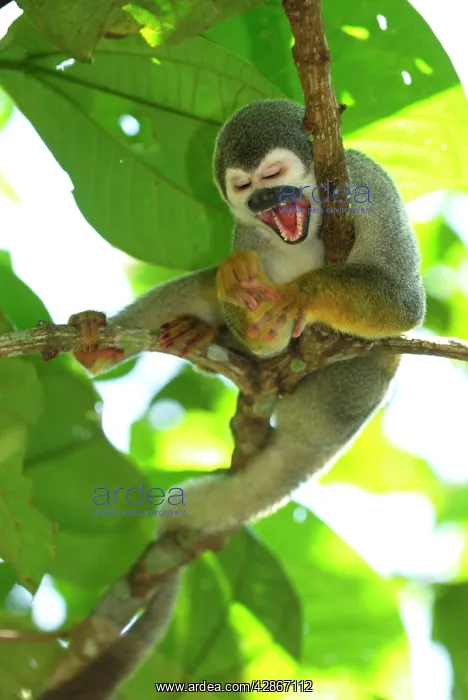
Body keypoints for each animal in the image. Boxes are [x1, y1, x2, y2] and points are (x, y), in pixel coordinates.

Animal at [38, 99, 425, 699]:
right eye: (245, 188)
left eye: (273, 175)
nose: (264, 202)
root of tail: (324, 434)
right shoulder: (247, 235)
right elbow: (261, 326)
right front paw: (251, 319)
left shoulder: (368, 184)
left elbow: (405, 302)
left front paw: (300, 295)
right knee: (211, 288)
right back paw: (126, 345)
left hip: (345, 390)